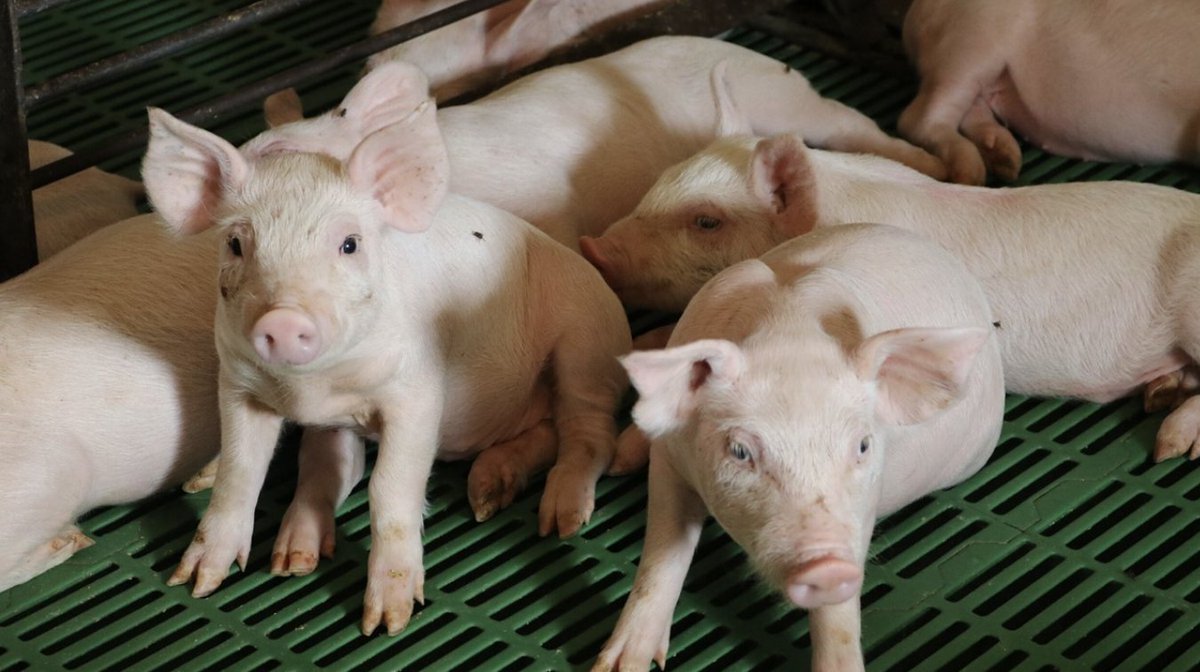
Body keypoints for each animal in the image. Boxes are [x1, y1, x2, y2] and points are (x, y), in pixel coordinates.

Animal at [144, 61, 631, 636]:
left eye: (349, 244)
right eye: (236, 244)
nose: (283, 319)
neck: (312, 389)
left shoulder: (416, 392)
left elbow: (390, 487)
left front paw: (387, 621)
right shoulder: (239, 384)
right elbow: (243, 473)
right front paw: (195, 582)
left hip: (585, 344)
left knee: (589, 433)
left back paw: (558, 520)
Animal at [581, 131, 1200, 463]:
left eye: (706, 220)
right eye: (658, 184)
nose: (591, 246)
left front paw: (625, 456)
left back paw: (1168, 446)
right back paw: (1159, 394)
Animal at [593, 223, 1004, 672]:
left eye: (863, 445)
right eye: (740, 451)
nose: (827, 566)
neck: (788, 333)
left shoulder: (861, 508)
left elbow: (837, 613)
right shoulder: (669, 457)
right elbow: (662, 553)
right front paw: (617, 666)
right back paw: (619, 458)